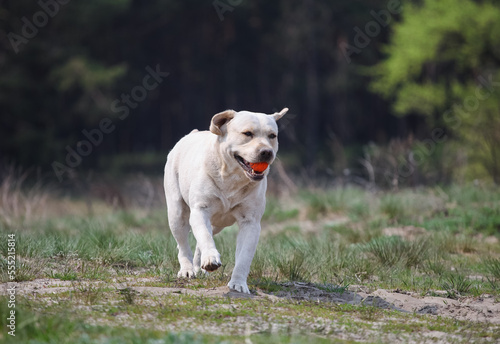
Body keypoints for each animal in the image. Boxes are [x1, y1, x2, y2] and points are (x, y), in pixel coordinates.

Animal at [165, 107, 290, 292]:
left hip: (218, 224)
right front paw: (211, 259)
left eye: (272, 135)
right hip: (176, 212)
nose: (267, 152)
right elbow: (205, 236)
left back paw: (199, 267)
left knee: (201, 240)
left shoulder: (250, 222)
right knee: (183, 244)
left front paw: (238, 284)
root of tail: (190, 134)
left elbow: (244, 256)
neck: (232, 177)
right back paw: (188, 269)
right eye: (247, 133)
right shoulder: (200, 210)